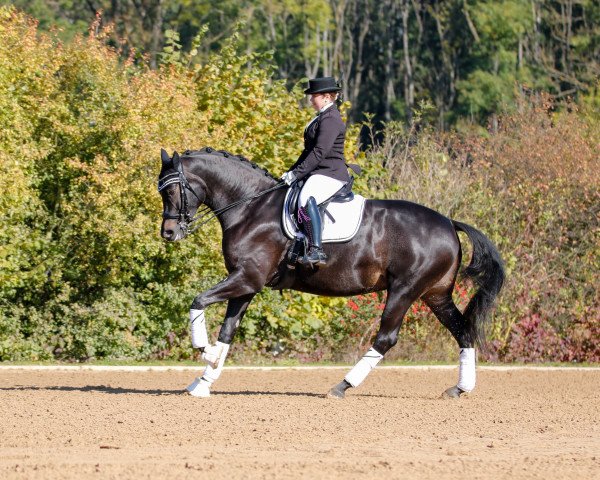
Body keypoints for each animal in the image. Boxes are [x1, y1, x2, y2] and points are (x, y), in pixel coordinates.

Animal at [157, 148, 504, 400]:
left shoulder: (246, 279)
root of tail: (449, 223)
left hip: (405, 290)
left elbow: (198, 301)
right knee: (463, 330)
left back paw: (342, 386)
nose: (169, 233)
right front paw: (205, 380)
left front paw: (205, 351)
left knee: (386, 337)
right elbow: (227, 331)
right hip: (435, 294)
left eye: (172, 191)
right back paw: (459, 388)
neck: (250, 208)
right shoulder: (246, 285)